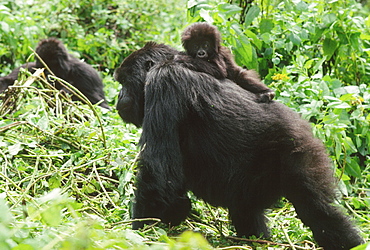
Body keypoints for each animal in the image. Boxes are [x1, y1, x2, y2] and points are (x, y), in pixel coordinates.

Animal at [114, 42, 362, 249]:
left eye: (124, 82)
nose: (118, 97)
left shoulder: (163, 83)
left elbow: (160, 173)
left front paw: (139, 231)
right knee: (248, 211)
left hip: (301, 151)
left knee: (318, 211)